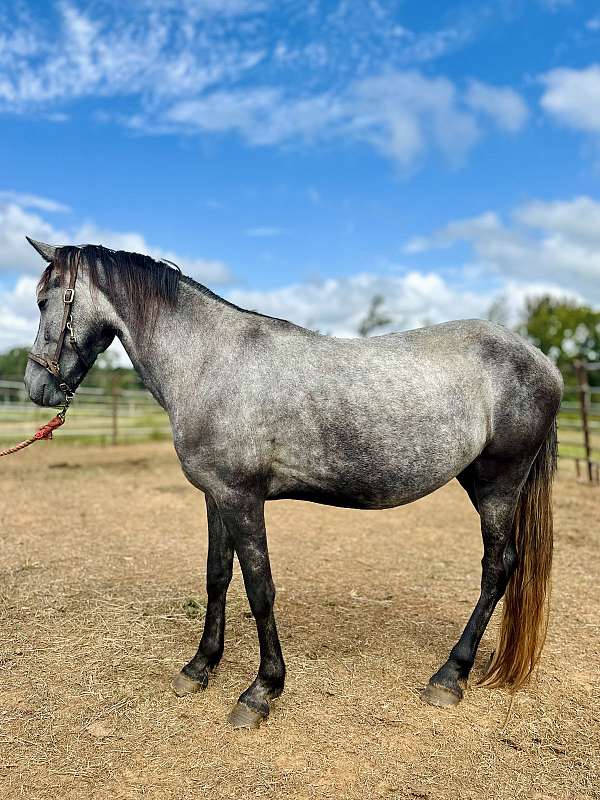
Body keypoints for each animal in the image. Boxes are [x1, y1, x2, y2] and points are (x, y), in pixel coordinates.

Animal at [23, 239, 564, 732]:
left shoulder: (242, 499)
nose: (35, 387)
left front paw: (261, 690)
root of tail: (544, 363)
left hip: (498, 486)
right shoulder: (216, 497)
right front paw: (200, 667)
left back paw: (450, 676)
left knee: (497, 567)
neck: (210, 361)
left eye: (45, 300)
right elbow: (217, 577)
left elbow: (260, 588)